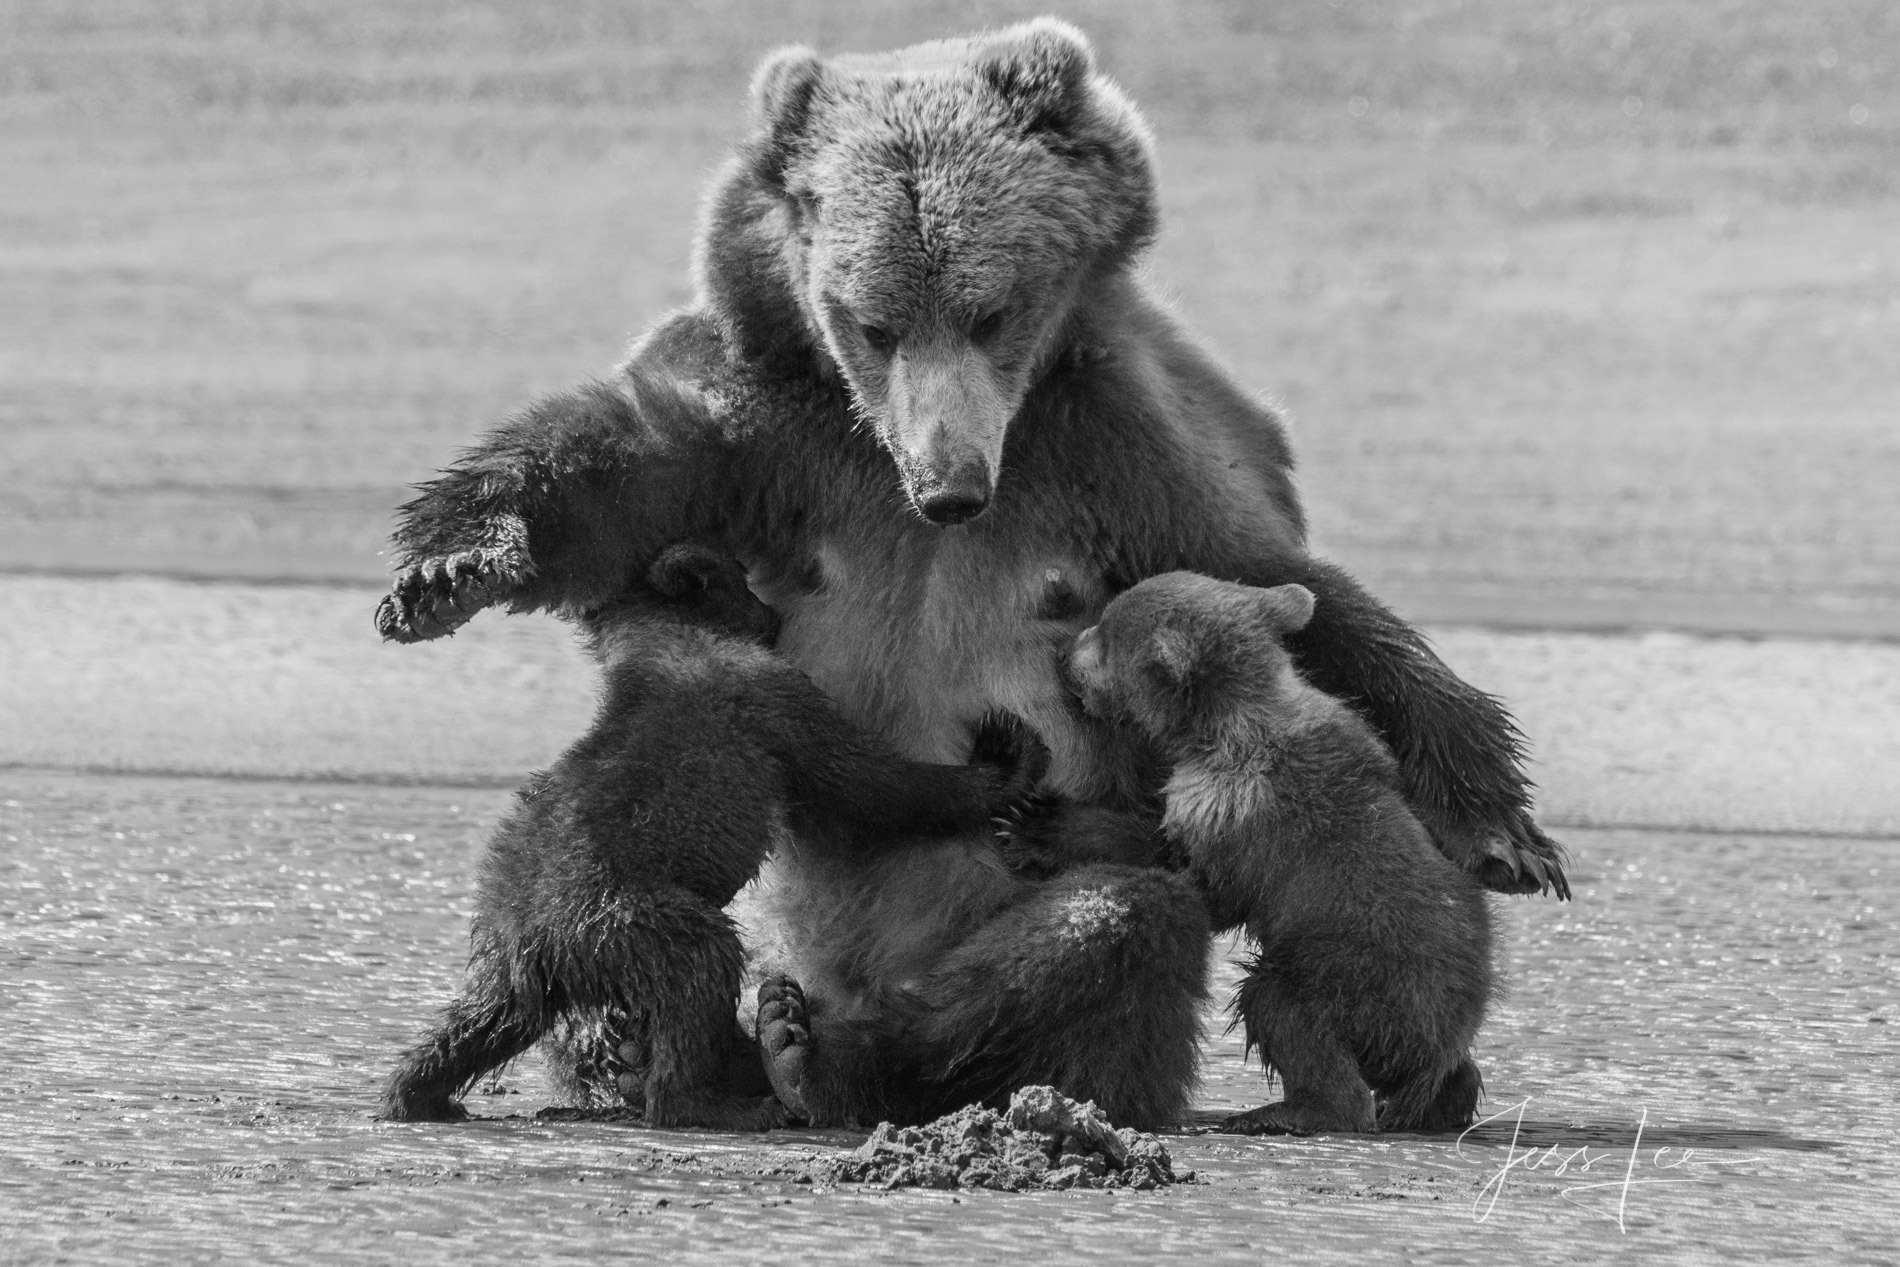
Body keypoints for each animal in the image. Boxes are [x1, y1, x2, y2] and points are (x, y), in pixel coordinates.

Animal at [380, 547, 1048, 1132]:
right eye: (743, 579)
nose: (774, 614)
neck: (665, 639)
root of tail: (535, 937)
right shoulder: (768, 698)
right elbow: (870, 781)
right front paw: (1005, 759)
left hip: (509, 952)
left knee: (482, 1020)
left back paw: (422, 1094)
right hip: (630, 915)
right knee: (700, 967)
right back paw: (718, 1100)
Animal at [1071, 569, 1497, 1132]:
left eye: (1105, 632)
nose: (1070, 648)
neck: (1224, 723)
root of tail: (1435, 1049)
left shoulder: (1230, 806)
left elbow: (1210, 891)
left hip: (1352, 982)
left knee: (1281, 1007)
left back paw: (1285, 1109)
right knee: (1456, 1072)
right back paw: (1445, 1103)